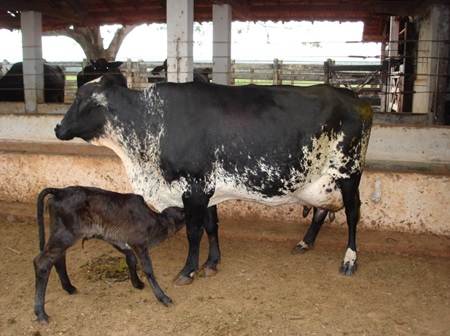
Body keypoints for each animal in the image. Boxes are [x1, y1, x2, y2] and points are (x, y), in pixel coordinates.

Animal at [33, 186, 185, 322]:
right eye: (183, 214)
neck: (155, 222)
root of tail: (59, 191)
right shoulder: (139, 242)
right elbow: (148, 269)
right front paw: (162, 297)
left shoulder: (116, 239)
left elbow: (131, 259)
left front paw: (136, 283)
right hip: (65, 234)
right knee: (42, 262)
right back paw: (41, 313)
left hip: (61, 234)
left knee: (59, 258)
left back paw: (69, 288)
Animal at [55, 75, 372, 288]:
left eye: (81, 99)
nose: (58, 127)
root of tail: (350, 95)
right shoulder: (208, 190)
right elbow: (211, 226)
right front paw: (211, 263)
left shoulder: (194, 189)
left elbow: (194, 232)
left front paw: (188, 270)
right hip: (320, 179)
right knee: (319, 211)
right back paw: (305, 243)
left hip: (349, 172)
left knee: (353, 214)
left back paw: (349, 260)